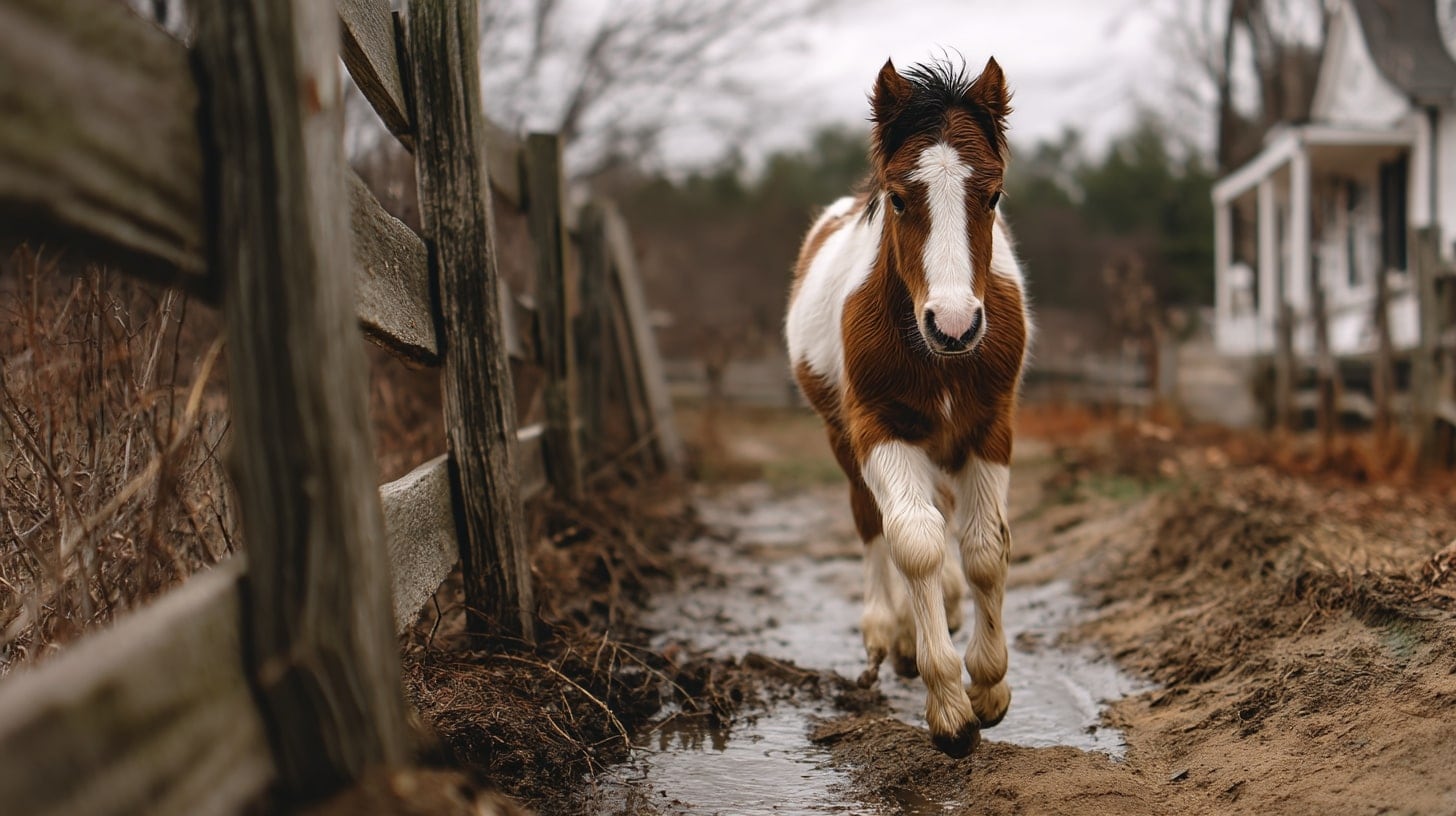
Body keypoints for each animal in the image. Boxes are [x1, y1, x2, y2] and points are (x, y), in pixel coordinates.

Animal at [784, 55, 1029, 757]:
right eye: (897, 196)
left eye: (993, 195)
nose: (953, 325)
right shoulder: (880, 429)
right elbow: (913, 542)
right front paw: (949, 707)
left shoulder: (990, 427)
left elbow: (984, 548)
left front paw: (989, 686)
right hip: (845, 437)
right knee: (874, 524)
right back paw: (885, 633)